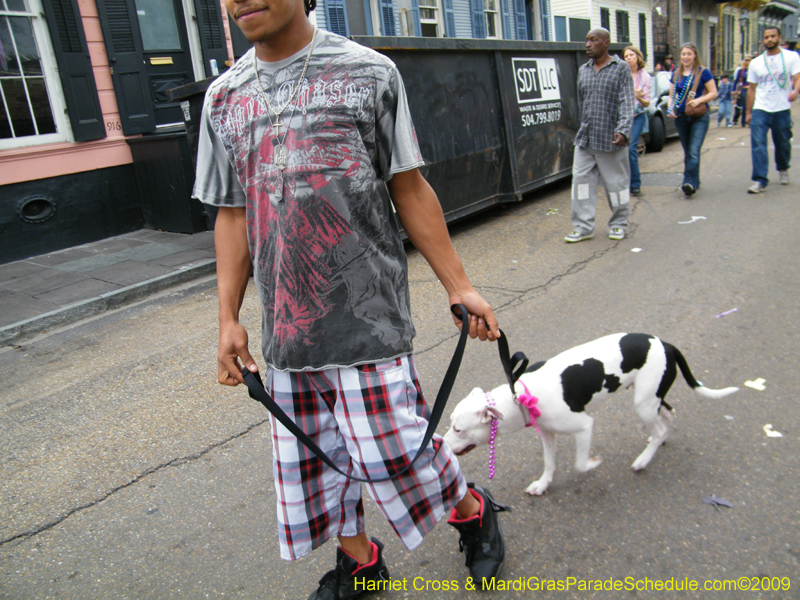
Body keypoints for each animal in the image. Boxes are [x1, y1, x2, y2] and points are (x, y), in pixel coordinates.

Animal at [444, 332, 736, 496]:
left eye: (458, 429)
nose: (441, 443)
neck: (521, 395)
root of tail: (666, 344)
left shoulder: (584, 427)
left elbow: (580, 464)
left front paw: (594, 463)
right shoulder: (547, 434)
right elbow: (549, 463)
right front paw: (543, 484)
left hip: (643, 403)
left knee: (661, 426)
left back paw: (644, 459)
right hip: (652, 398)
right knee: (668, 417)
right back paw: (656, 442)